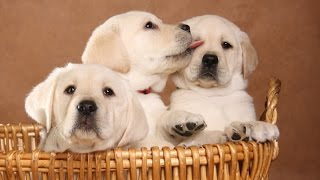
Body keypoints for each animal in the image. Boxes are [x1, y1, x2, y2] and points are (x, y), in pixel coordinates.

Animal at [82, 11, 202, 147]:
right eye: (149, 25)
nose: (187, 27)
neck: (138, 92)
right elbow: (157, 143)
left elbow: (163, 118)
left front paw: (184, 118)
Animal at [162, 15, 278, 146]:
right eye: (195, 43)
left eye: (226, 45)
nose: (210, 59)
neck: (213, 95)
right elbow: (206, 134)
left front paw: (258, 126)